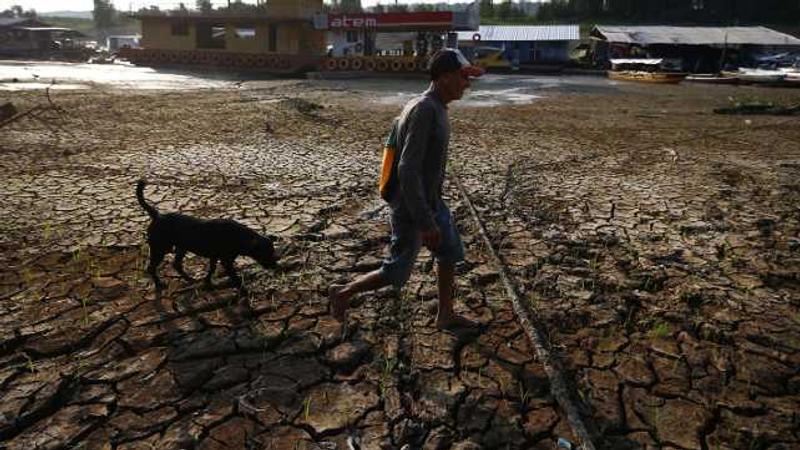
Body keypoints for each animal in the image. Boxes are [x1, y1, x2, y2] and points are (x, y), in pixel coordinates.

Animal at [135, 180, 278, 290]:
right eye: (266, 253)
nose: (275, 266)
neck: (240, 236)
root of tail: (157, 215)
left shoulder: (215, 257)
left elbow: (212, 269)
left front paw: (207, 281)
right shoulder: (226, 261)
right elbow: (234, 277)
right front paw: (243, 290)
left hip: (181, 247)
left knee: (177, 264)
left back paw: (190, 279)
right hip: (160, 249)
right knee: (151, 268)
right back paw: (159, 284)